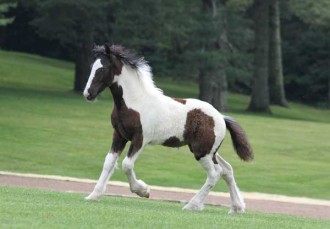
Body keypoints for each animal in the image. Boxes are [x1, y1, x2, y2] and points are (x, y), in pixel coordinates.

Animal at [82, 43, 253, 213]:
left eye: (103, 69)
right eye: (92, 67)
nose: (88, 93)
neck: (135, 102)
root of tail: (222, 117)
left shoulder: (140, 139)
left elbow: (126, 165)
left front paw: (144, 191)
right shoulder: (119, 135)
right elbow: (109, 163)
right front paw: (94, 195)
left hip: (201, 152)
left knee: (215, 174)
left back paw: (192, 205)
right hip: (210, 151)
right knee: (227, 170)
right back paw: (237, 208)